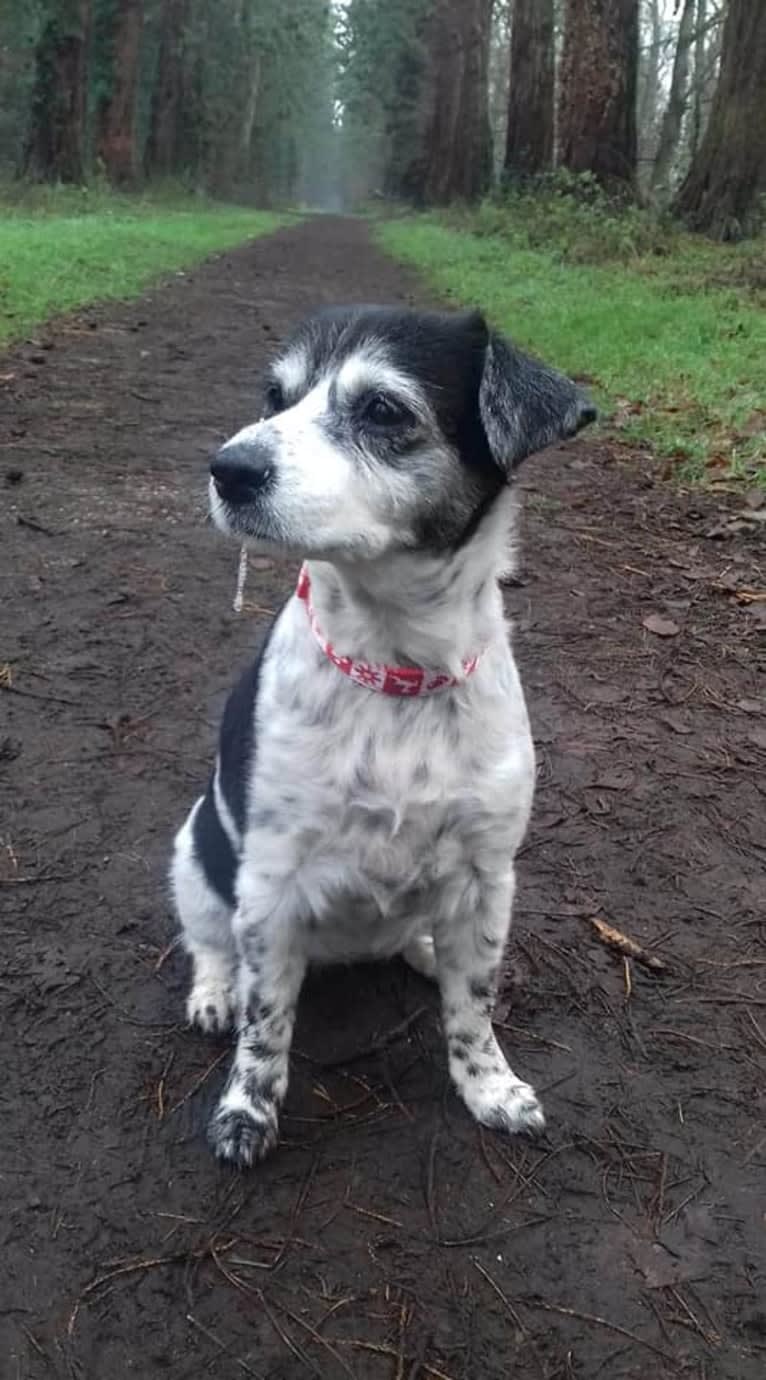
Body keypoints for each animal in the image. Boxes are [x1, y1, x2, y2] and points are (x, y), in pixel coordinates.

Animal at [171, 302, 596, 1164]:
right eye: (276, 396)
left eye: (382, 410)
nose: (228, 468)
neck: (397, 675)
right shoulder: (269, 890)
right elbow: (267, 1026)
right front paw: (246, 1112)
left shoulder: (488, 876)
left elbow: (474, 1005)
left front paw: (489, 1086)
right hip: (195, 853)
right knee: (211, 945)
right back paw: (214, 992)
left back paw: (427, 953)